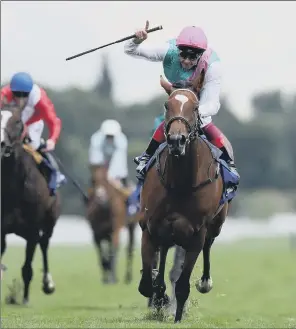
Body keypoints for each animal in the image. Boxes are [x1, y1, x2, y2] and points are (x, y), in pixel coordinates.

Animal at [0, 104, 60, 302]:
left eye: (18, 121)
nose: (1, 143)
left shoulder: (33, 228)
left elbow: (27, 268)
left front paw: (25, 299)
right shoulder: (2, 226)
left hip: (49, 222)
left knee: (44, 243)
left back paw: (48, 283)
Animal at [138, 72, 231, 320]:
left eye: (196, 106)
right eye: (166, 105)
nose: (176, 140)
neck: (180, 183)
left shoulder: (195, 235)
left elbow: (182, 285)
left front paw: (177, 314)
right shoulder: (150, 227)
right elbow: (147, 284)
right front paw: (159, 296)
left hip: (216, 225)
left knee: (208, 245)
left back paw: (205, 282)